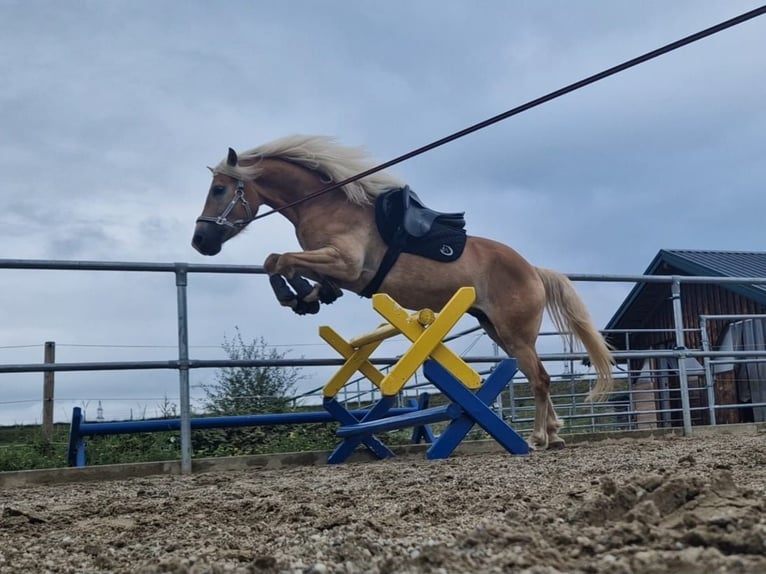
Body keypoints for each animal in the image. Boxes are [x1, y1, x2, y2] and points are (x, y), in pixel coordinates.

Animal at [194, 134, 616, 450]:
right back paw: (555, 434)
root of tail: (532, 269)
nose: (201, 242)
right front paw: (307, 297)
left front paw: (291, 294)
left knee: (541, 379)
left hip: (515, 334)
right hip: (497, 330)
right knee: (537, 377)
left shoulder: (344, 262)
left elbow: (276, 259)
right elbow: (286, 264)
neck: (327, 205)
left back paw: (539, 437)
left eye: (220, 189)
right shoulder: (334, 267)